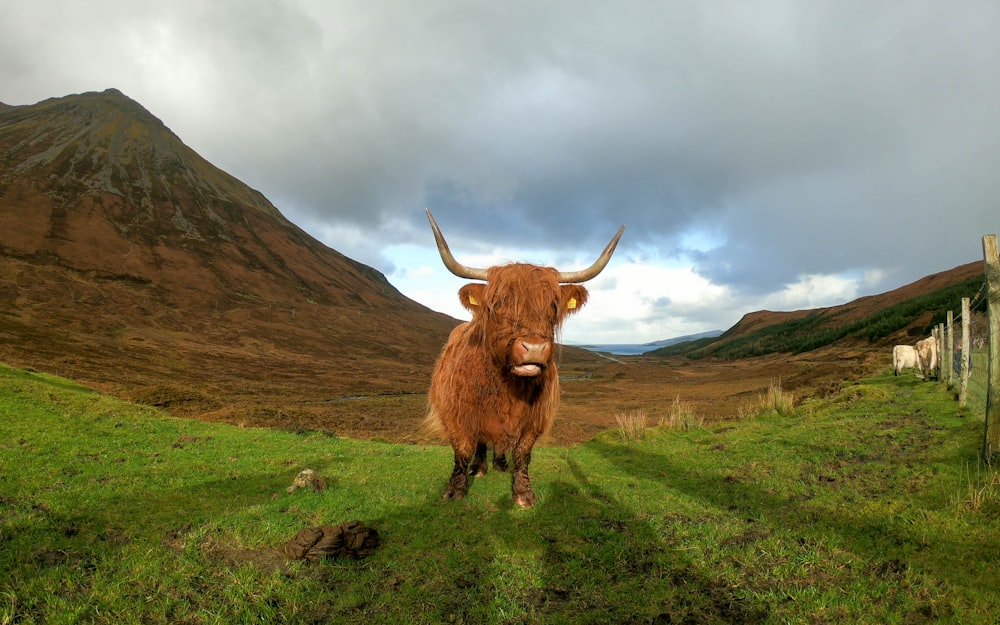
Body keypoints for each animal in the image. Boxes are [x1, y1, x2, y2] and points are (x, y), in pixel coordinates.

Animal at [424, 210, 624, 508]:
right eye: (498, 303)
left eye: (553, 305)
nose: (534, 348)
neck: (507, 386)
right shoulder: (454, 412)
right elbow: (463, 449)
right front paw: (455, 489)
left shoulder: (536, 417)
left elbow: (523, 451)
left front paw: (523, 493)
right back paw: (479, 468)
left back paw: (499, 464)